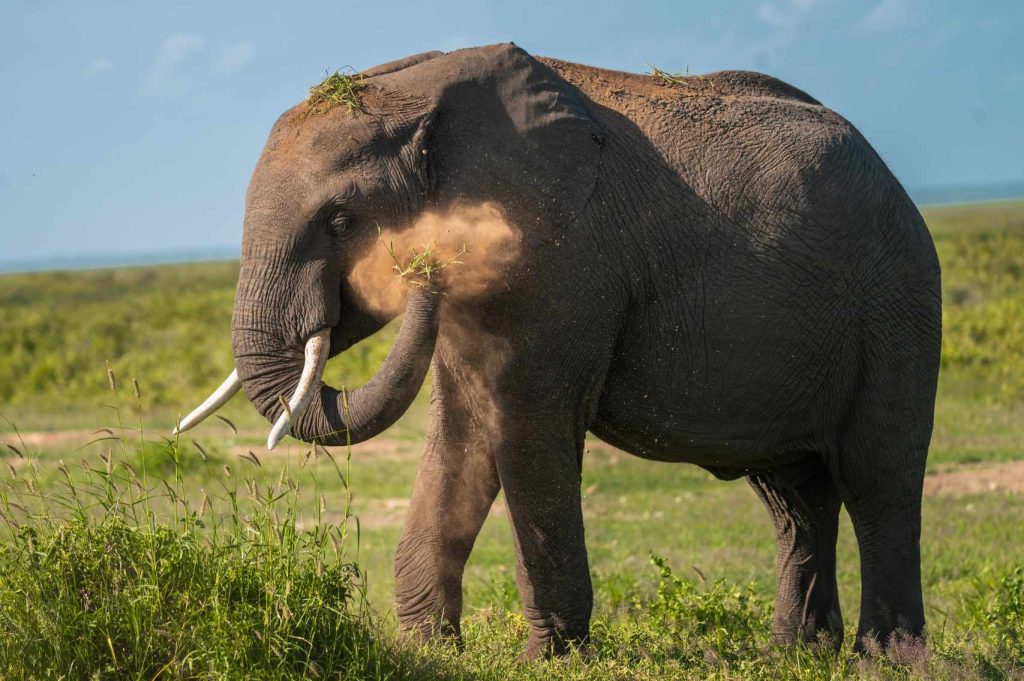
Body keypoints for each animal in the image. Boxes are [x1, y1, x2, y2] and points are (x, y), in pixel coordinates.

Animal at [175, 43, 941, 659]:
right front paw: (432, 650)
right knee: (794, 497)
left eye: (340, 221)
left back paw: (885, 658)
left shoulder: (559, 255)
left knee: (878, 478)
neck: (424, 97)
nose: (421, 261)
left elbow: (525, 423)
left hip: (897, 302)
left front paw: (550, 658)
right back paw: (798, 653)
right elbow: (465, 429)